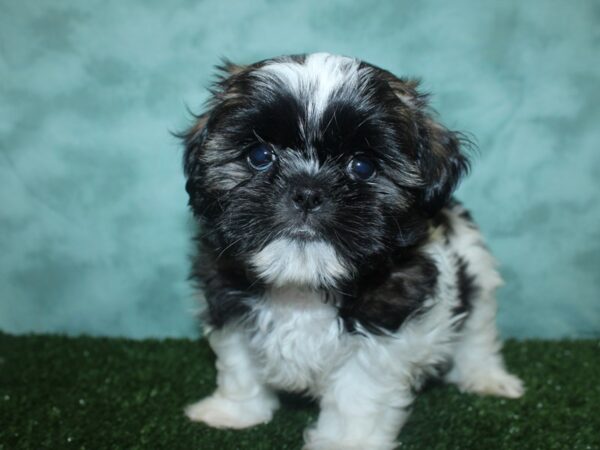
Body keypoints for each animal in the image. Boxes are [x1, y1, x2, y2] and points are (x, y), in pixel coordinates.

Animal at [180, 53, 524, 450]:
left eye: (362, 166)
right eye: (260, 156)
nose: (307, 191)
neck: (302, 284)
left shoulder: (381, 333)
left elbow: (357, 395)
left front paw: (346, 442)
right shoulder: (228, 302)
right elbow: (239, 364)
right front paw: (233, 412)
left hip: (478, 275)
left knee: (478, 334)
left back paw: (487, 377)